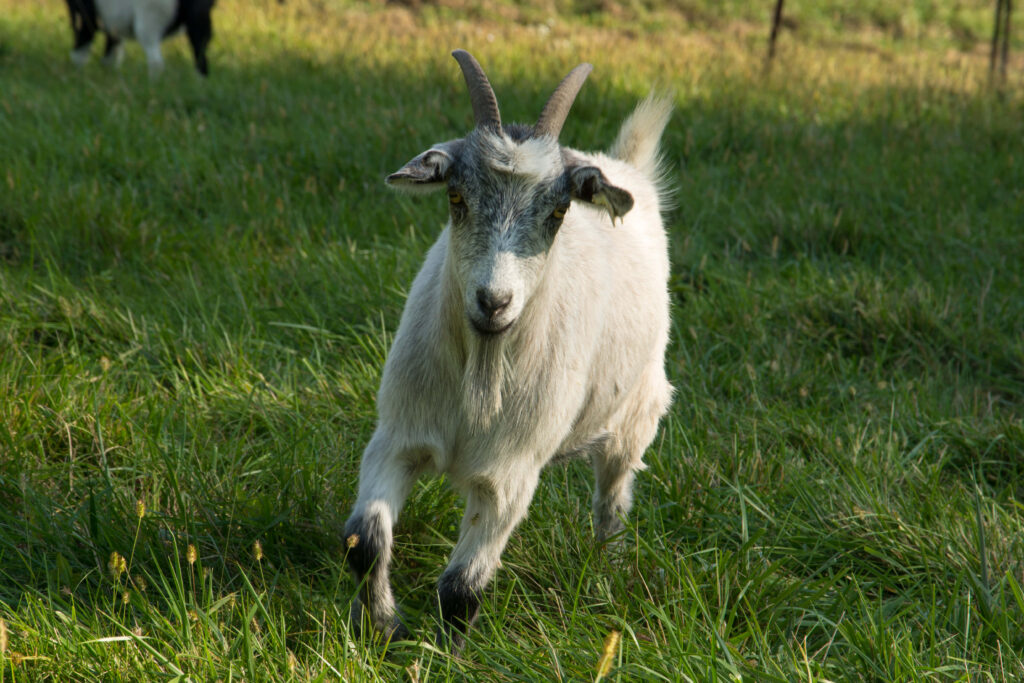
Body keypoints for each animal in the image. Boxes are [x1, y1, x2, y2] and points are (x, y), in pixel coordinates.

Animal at [65, 0, 215, 76]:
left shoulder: (84, 11)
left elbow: (80, 50)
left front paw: (77, 75)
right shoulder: (113, 22)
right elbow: (112, 52)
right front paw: (110, 75)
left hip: (150, 16)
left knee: (156, 61)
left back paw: (153, 88)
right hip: (199, 18)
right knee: (201, 59)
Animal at [344, 50, 673, 649]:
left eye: (559, 213)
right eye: (455, 197)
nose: (493, 302)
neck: (481, 371)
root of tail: (621, 166)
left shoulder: (510, 474)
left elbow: (460, 587)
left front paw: (444, 655)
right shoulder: (397, 436)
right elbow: (366, 540)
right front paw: (384, 627)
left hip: (637, 412)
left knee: (612, 499)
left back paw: (604, 574)